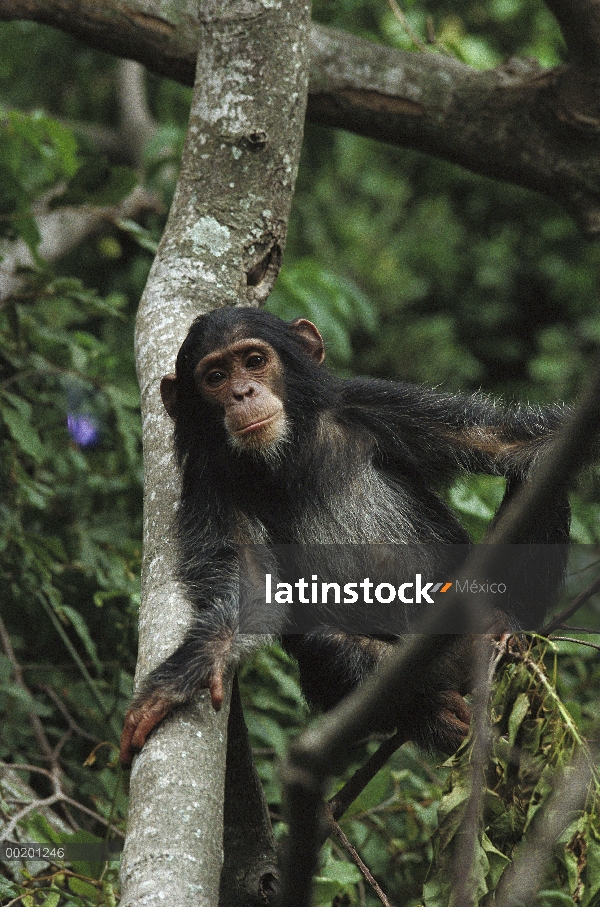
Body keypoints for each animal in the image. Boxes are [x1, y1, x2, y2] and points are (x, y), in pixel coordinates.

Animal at [119, 310, 568, 768]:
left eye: (254, 360)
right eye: (215, 376)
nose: (242, 392)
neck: (287, 453)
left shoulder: (383, 404)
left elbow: (517, 446)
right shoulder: (210, 484)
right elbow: (248, 589)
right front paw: (190, 669)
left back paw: (503, 629)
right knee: (328, 645)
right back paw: (434, 713)